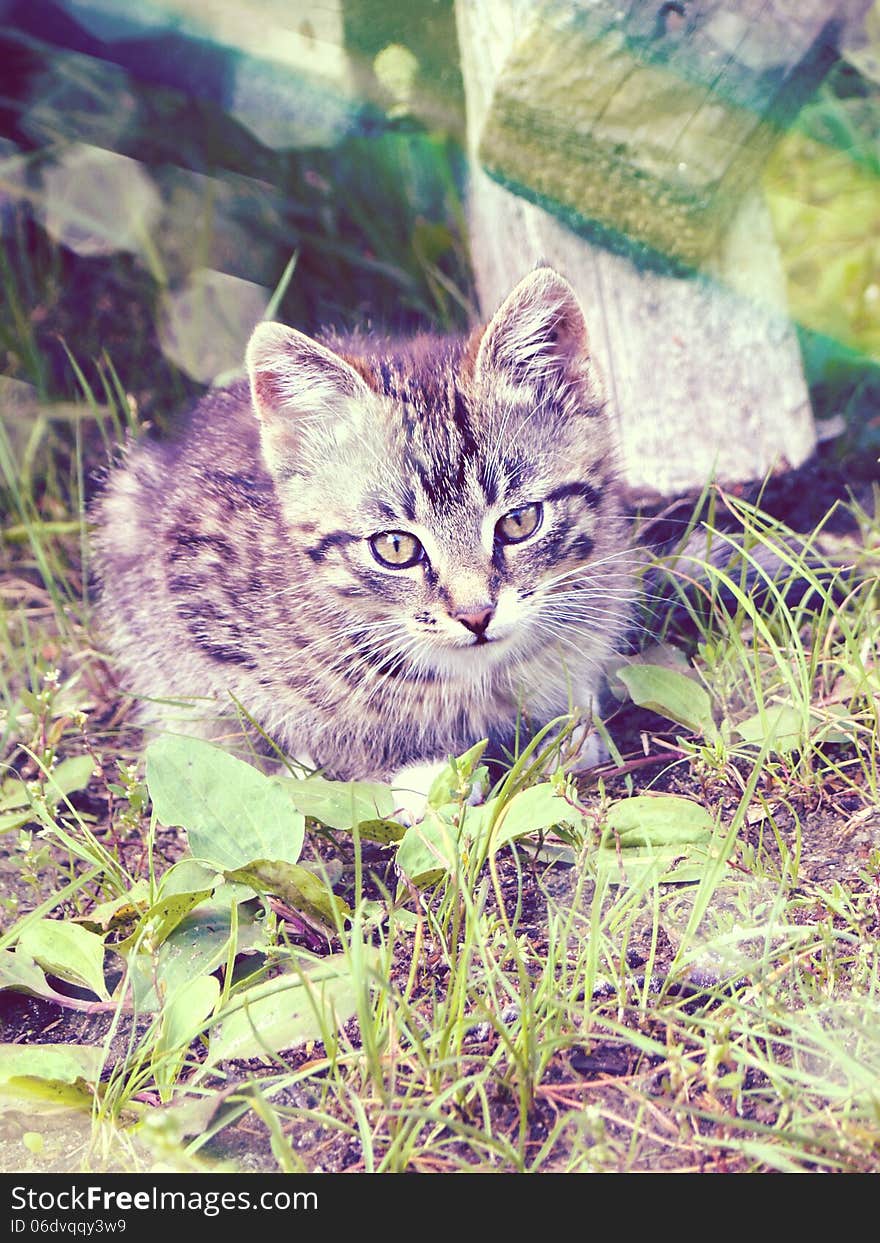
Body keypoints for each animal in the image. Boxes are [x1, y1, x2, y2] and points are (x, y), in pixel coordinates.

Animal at [94, 269, 631, 795]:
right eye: (395, 547)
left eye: (519, 522)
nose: (476, 616)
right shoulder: (194, 598)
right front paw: (408, 770)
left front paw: (563, 729)